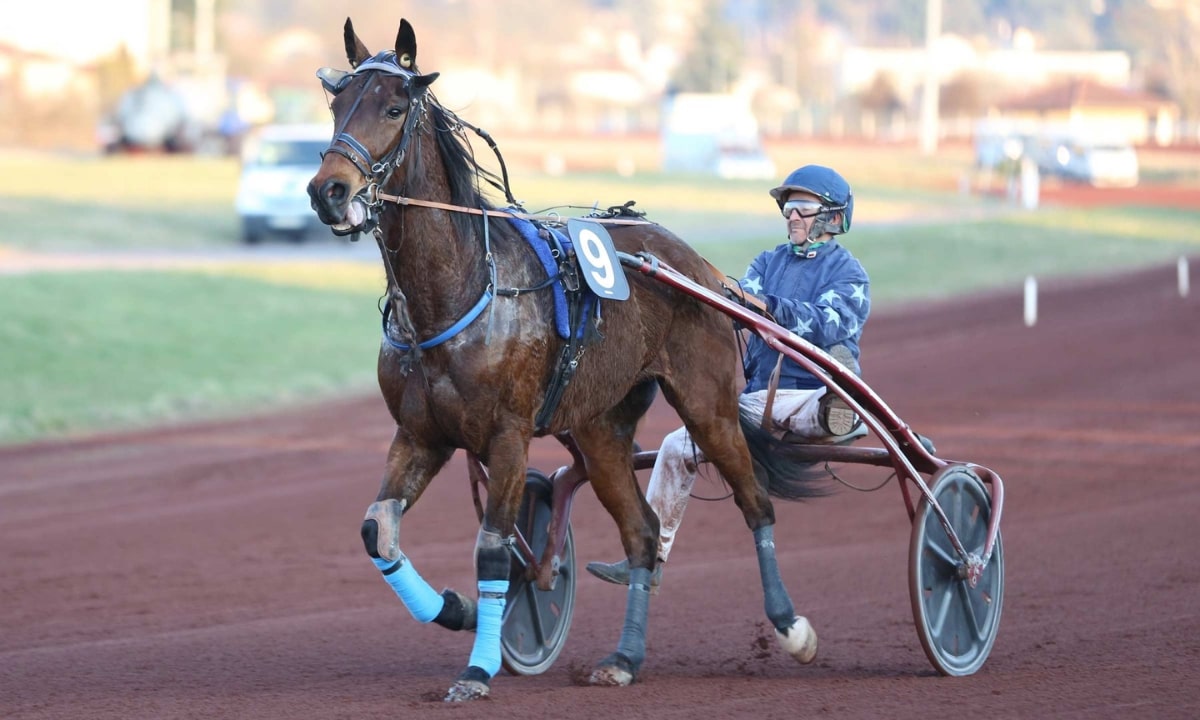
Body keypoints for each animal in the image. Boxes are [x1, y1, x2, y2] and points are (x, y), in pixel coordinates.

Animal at [307, 18, 825, 700]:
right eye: (337, 103)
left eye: (393, 107)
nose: (328, 191)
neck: (460, 290)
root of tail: (699, 268)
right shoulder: (421, 435)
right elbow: (378, 531)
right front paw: (458, 609)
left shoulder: (507, 434)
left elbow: (493, 548)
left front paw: (477, 669)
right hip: (601, 428)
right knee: (640, 533)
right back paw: (624, 658)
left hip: (708, 406)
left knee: (755, 502)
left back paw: (792, 626)